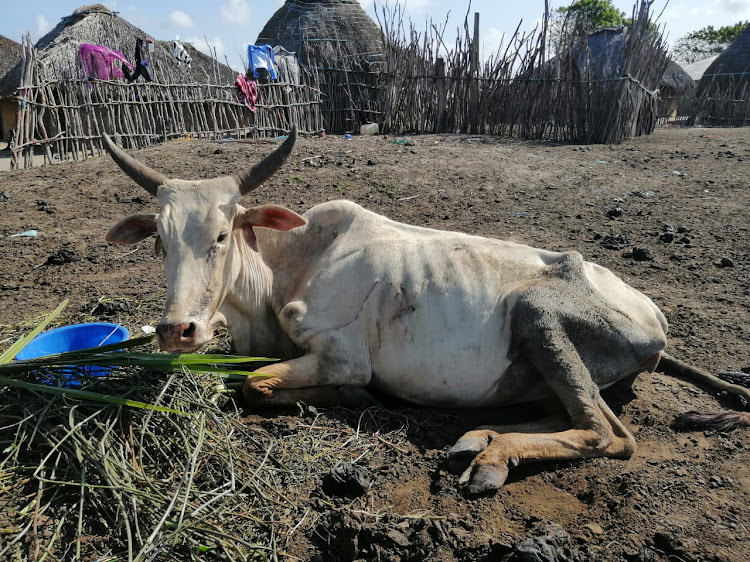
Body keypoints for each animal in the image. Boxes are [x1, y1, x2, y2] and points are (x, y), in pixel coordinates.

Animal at [101, 128, 750, 494]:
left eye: (220, 236)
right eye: (159, 242)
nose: (177, 330)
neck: (287, 270)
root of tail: (655, 322)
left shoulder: (341, 356)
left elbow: (256, 385)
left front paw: (350, 398)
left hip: (536, 311)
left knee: (607, 434)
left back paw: (494, 459)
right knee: (572, 415)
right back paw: (478, 438)